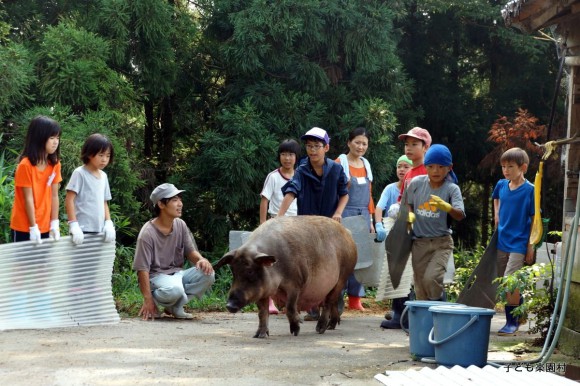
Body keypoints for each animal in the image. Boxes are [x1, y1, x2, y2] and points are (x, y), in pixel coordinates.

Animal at [214, 217, 358, 338]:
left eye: (250, 271)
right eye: (233, 271)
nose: (229, 305)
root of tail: (347, 233)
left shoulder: (295, 284)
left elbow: (290, 308)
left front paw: (295, 331)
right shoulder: (263, 291)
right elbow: (262, 313)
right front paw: (259, 335)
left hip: (343, 276)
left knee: (328, 302)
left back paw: (320, 329)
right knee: (333, 302)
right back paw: (331, 326)